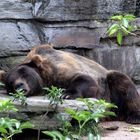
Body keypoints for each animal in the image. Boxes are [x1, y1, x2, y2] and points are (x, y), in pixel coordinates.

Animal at [0, 44, 140, 123]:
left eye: (24, 74)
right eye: (10, 83)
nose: (19, 85)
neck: (45, 79)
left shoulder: (58, 69)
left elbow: (84, 79)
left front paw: (66, 94)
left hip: (109, 90)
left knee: (121, 82)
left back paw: (134, 117)